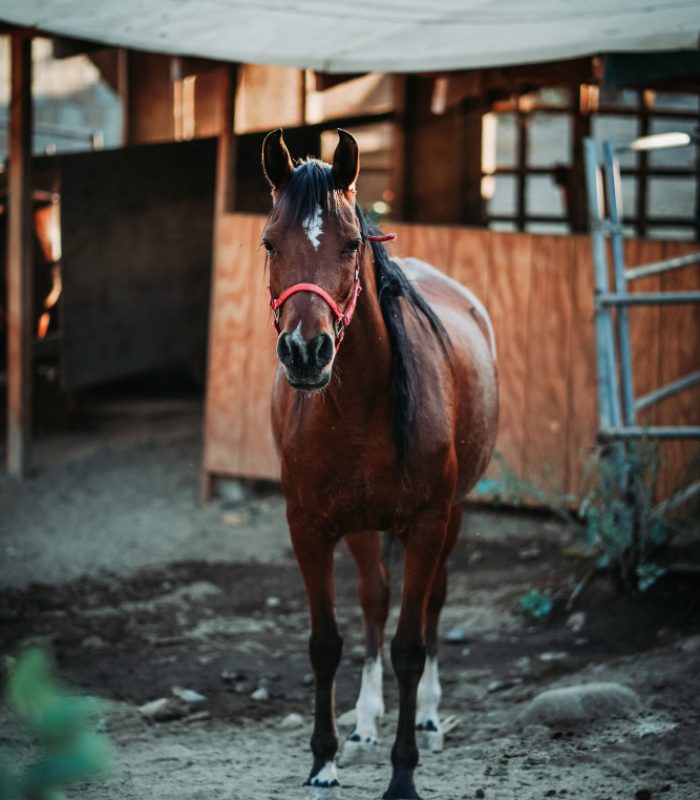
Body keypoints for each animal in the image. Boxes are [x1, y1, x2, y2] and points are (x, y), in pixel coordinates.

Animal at [261, 128, 498, 800]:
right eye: (269, 241)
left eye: (349, 244)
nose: (305, 351)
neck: (357, 404)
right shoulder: (309, 528)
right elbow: (325, 643)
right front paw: (323, 762)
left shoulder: (426, 523)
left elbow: (411, 646)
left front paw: (404, 775)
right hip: (364, 528)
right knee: (373, 598)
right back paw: (365, 722)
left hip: (451, 516)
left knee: (434, 602)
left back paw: (428, 719)